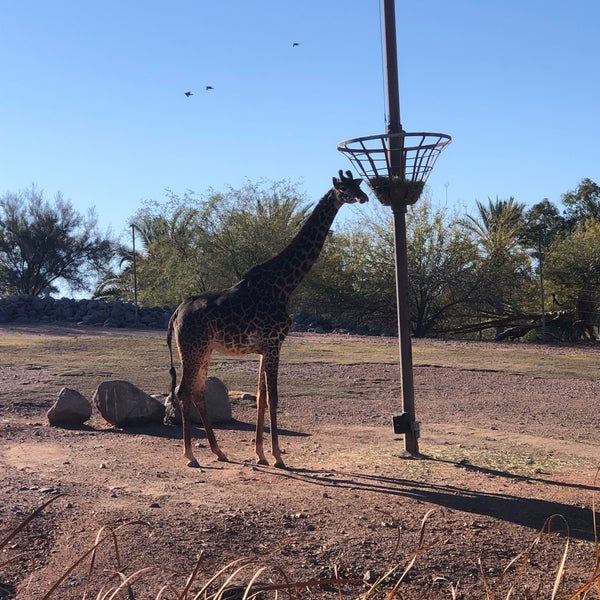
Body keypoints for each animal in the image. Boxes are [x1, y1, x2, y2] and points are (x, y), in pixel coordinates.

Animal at [166, 169, 368, 468]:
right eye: (344, 188)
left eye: (358, 184)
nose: (364, 197)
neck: (285, 284)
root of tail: (176, 313)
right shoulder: (275, 343)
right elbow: (273, 397)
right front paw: (277, 456)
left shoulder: (265, 347)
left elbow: (261, 396)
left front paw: (260, 453)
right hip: (192, 348)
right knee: (183, 391)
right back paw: (190, 455)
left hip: (203, 350)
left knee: (198, 392)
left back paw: (218, 451)